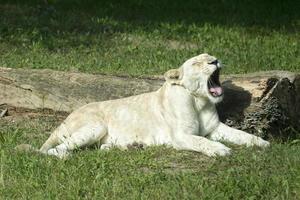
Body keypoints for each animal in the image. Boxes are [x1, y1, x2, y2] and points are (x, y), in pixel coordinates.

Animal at [28, 52, 268, 158]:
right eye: (196, 63)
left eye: (211, 55)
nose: (215, 61)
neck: (199, 101)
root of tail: (66, 118)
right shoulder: (180, 136)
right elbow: (201, 141)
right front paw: (221, 149)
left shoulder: (215, 128)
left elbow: (240, 134)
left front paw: (262, 143)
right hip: (95, 126)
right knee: (54, 150)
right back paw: (64, 156)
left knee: (99, 147)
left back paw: (131, 146)